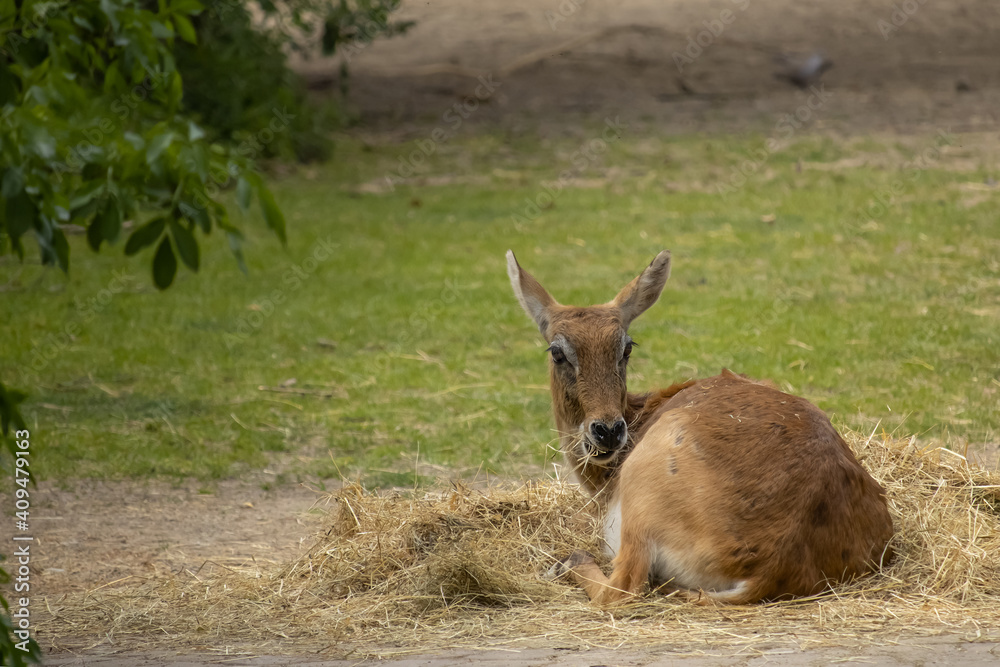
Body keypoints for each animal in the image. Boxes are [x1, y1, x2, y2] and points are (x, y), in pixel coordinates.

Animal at [508, 250, 892, 604]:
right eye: (557, 352)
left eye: (627, 347)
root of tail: (770, 567)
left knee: (621, 588)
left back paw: (565, 563)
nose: (607, 430)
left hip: (642, 493)